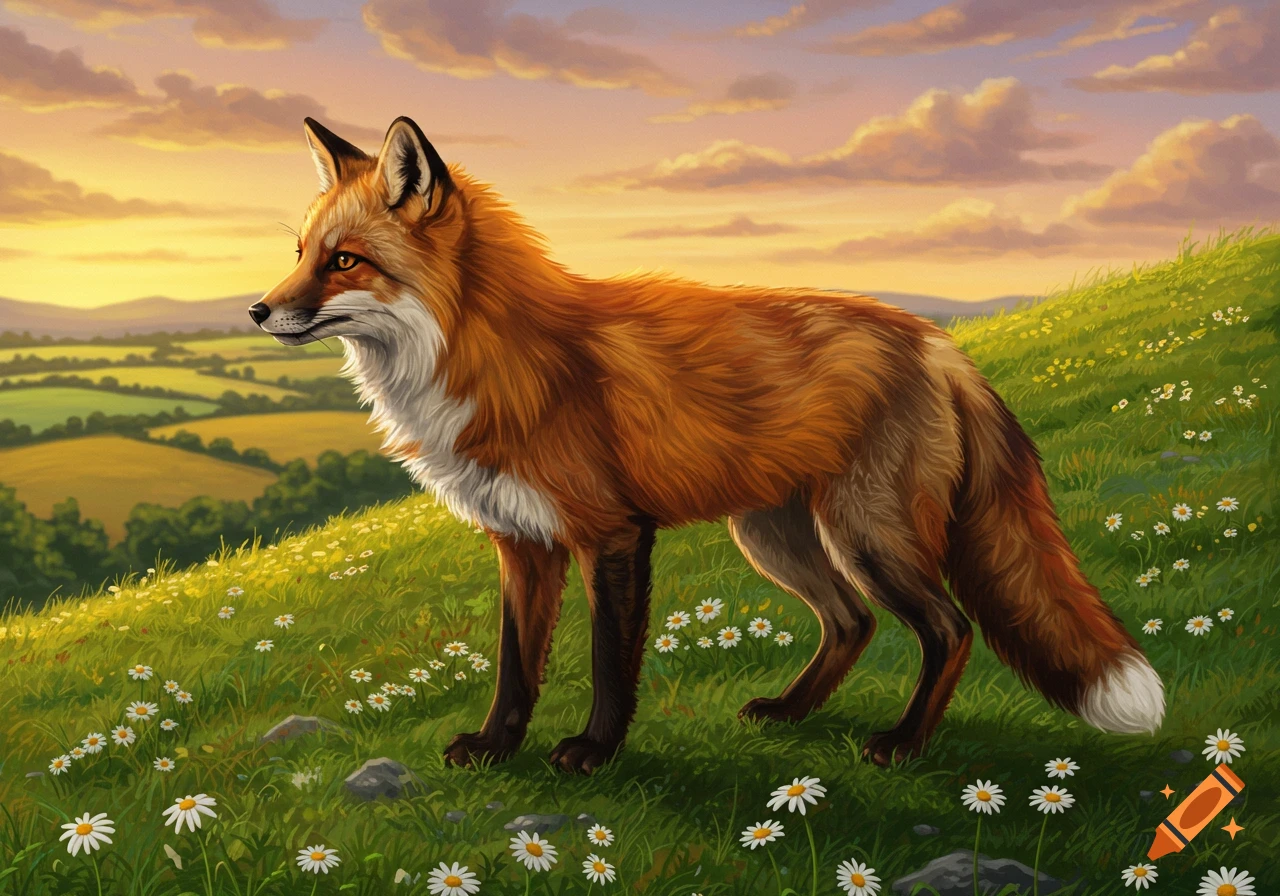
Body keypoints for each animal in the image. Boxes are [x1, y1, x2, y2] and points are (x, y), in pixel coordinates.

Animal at [250, 115, 1165, 775]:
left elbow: (608, 663)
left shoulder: (612, 534)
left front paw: (594, 753)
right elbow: (515, 667)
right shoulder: (522, 541)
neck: (486, 352)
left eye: (345, 261)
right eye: (298, 254)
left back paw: (903, 745)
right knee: (852, 622)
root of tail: (937, 341)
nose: (258, 310)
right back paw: (790, 714)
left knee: (949, 628)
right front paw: (495, 749)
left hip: (868, 534)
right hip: (773, 535)